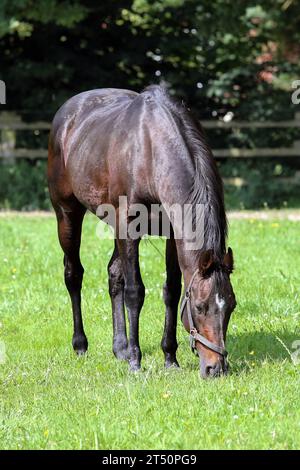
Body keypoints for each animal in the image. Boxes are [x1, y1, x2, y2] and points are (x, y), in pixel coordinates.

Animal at [47, 85, 237, 378]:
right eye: (200, 307)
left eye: (231, 306)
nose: (215, 369)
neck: (150, 152)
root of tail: (66, 112)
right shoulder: (129, 228)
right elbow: (135, 292)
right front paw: (136, 362)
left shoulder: (171, 232)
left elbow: (171, 290)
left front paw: (170, 357)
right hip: (67, 215)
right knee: (73, 274)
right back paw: (81, 345)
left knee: (114, 275)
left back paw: (120, 348)